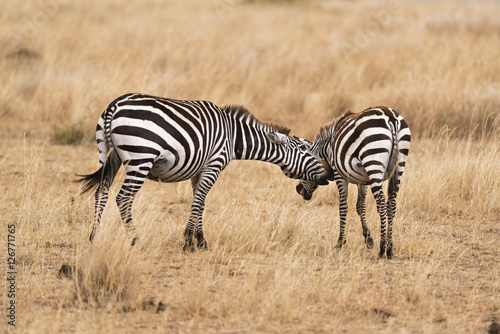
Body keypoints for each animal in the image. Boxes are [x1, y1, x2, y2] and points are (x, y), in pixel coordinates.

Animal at [78, 93, 334, 250]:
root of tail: (114, 106)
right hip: (141, 158)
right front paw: (189, 242)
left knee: (101, 191)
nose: (330, 173)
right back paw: (136, 242)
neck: (233, 137)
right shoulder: (214, 164)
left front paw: (199, 240)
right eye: (306, 149)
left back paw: (93, 238)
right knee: (123, 198)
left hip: (109, 155)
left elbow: (198, 202)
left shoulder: (198, 170)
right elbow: (200, 200)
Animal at [296, 106, 410, 258]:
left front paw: (340, 242)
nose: (298, 189)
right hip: (399, 164)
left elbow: (343, 207)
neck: (327, 150)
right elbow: (360, 207)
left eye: (304, 167)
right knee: (391, 203)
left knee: (381, 203)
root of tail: (390, 117)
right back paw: (390, 249)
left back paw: (382, 249)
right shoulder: (363, 181)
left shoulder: (339, 174)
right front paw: (368, 238)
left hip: (373, 161)